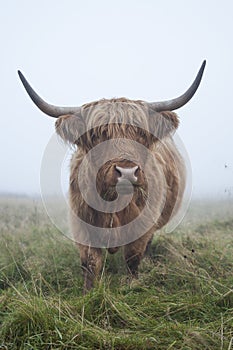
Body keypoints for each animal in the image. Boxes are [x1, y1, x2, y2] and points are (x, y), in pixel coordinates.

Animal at [18, 61, 206, 292]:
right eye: (97, 134)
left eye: (141, 134)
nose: (127, 172)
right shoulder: (82, 224)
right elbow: (91, 262)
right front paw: (88, 292)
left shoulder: (143, 224)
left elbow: (133, 258)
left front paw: (133, 286)